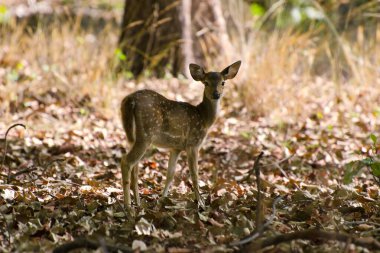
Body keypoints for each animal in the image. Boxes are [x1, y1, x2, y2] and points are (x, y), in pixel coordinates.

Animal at [120, 60, 242, 209]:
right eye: (206, 82)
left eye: (223, 82)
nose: (216, 94)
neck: (204, 118)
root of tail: (130, 100)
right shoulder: (193, 143)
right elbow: (194, 174)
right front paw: (201, 203)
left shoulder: (176, 147)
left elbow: (170, 174)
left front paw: (162, 199)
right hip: (146, 133)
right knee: (126, 161)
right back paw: (128, 206)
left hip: (132, 135)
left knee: (135, 166)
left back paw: (137, 202)